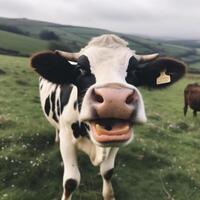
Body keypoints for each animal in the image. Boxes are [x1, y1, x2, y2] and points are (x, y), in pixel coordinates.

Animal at [30, 34, 186, 200]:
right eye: (81, 69)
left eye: (134, 70)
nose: (114, 99)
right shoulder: (67, 140)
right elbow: (71, 181)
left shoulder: (116, 142)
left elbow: (107, 172)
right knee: (56, 128)